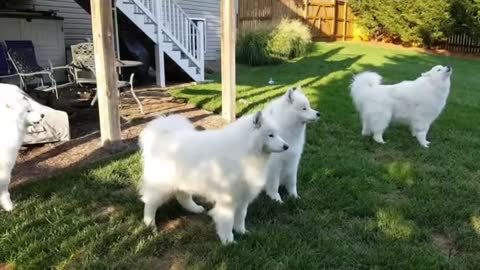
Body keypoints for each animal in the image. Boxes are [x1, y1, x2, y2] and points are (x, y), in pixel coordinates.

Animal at [0, 83, 44, 212]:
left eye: (31, 108)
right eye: (28, 110)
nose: (43, 115)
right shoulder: (4, 166)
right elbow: (4, 190)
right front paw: (9, 207)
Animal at [139, 110, 288, 244]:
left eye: (278, 134)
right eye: (270, 135)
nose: (286, 146)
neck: (244, 152)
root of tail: (163, 136)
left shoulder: (243, 197)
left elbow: (241, 217)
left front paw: (242, 232)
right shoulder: (228, 199)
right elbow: (227, 221)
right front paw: (228, 241)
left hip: (184, 181)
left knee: (182, 196)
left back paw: (195, 208)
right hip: (162, 185)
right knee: (150, 203)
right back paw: (150, 224)